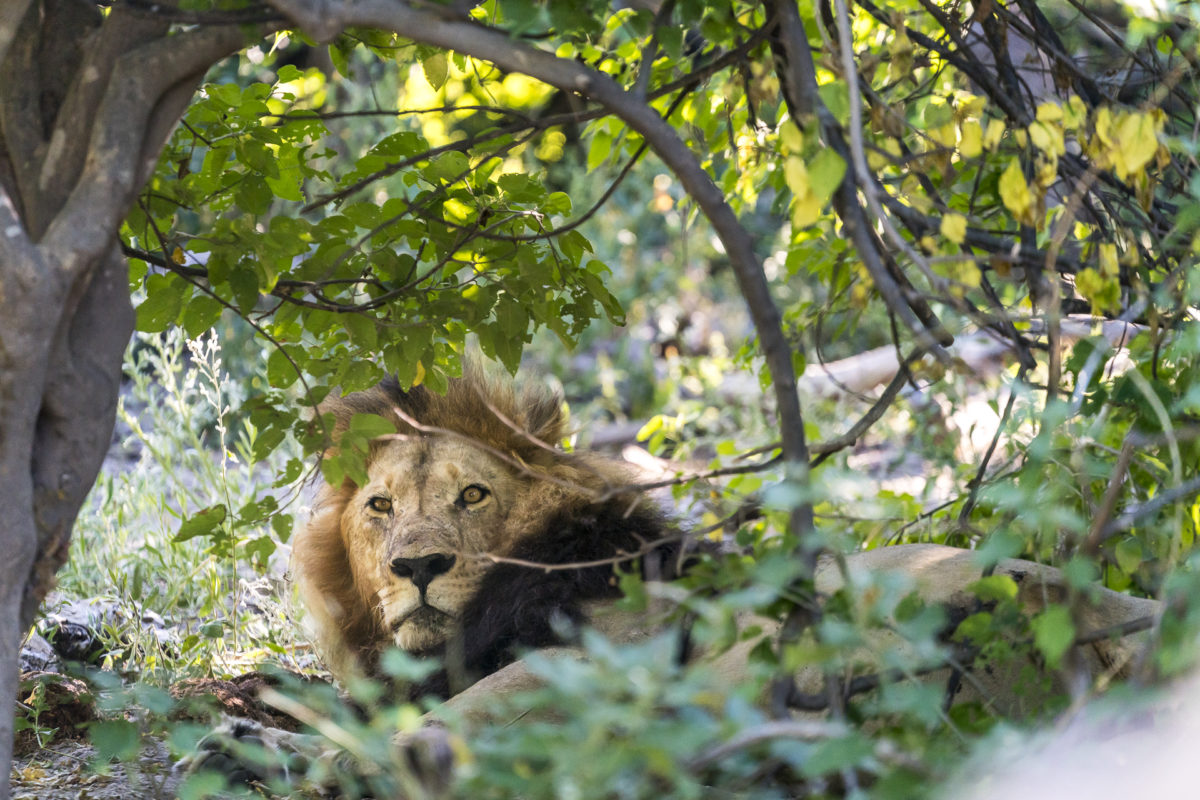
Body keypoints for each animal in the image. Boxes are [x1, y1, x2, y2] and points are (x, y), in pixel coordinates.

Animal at [187, 367, 1161, 796]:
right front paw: (260, 687)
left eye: (472, 495)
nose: (418, 567)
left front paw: (260, 717)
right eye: (380, 507)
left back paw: (246, 751)